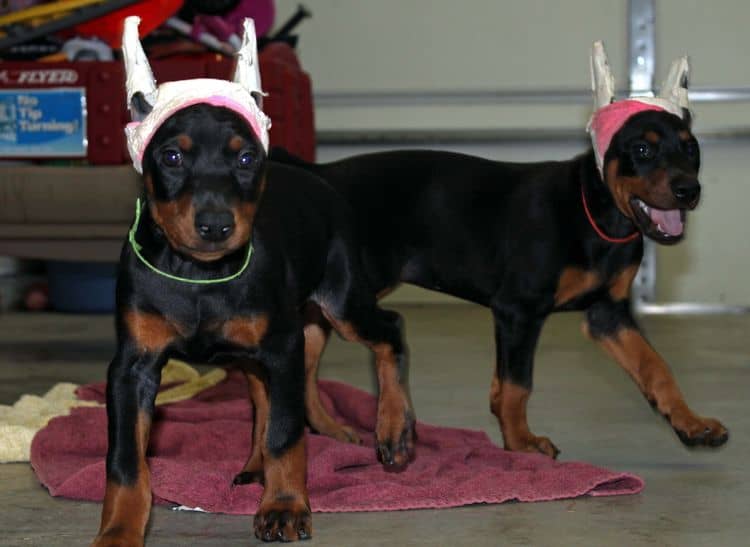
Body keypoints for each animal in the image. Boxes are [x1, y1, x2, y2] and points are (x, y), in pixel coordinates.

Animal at [92, 17, 418, 547]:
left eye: (245, 159)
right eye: (171, 157)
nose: (215, 225)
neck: (198, 274)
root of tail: (316, 178)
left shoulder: (282, 345)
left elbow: (287, 433)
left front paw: (284, 506)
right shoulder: (132, 366)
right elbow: (125, 461)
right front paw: (119, 530)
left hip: (341, 298)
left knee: (389, 328)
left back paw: (393, 428)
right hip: (254, 348)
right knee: (263, 396)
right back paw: (254, 464)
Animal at [274, 42, 728, 460]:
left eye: (691, 149)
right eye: (642, 150)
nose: (689, 190)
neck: (597, 218)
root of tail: (318, 172)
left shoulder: (608, 315)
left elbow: (655, 366)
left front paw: (691, 423)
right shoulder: (519, 309)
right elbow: (517, 385)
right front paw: (521, 444)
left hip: (325, 302)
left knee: (306, 364)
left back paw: (332, 431)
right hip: (345, 296)